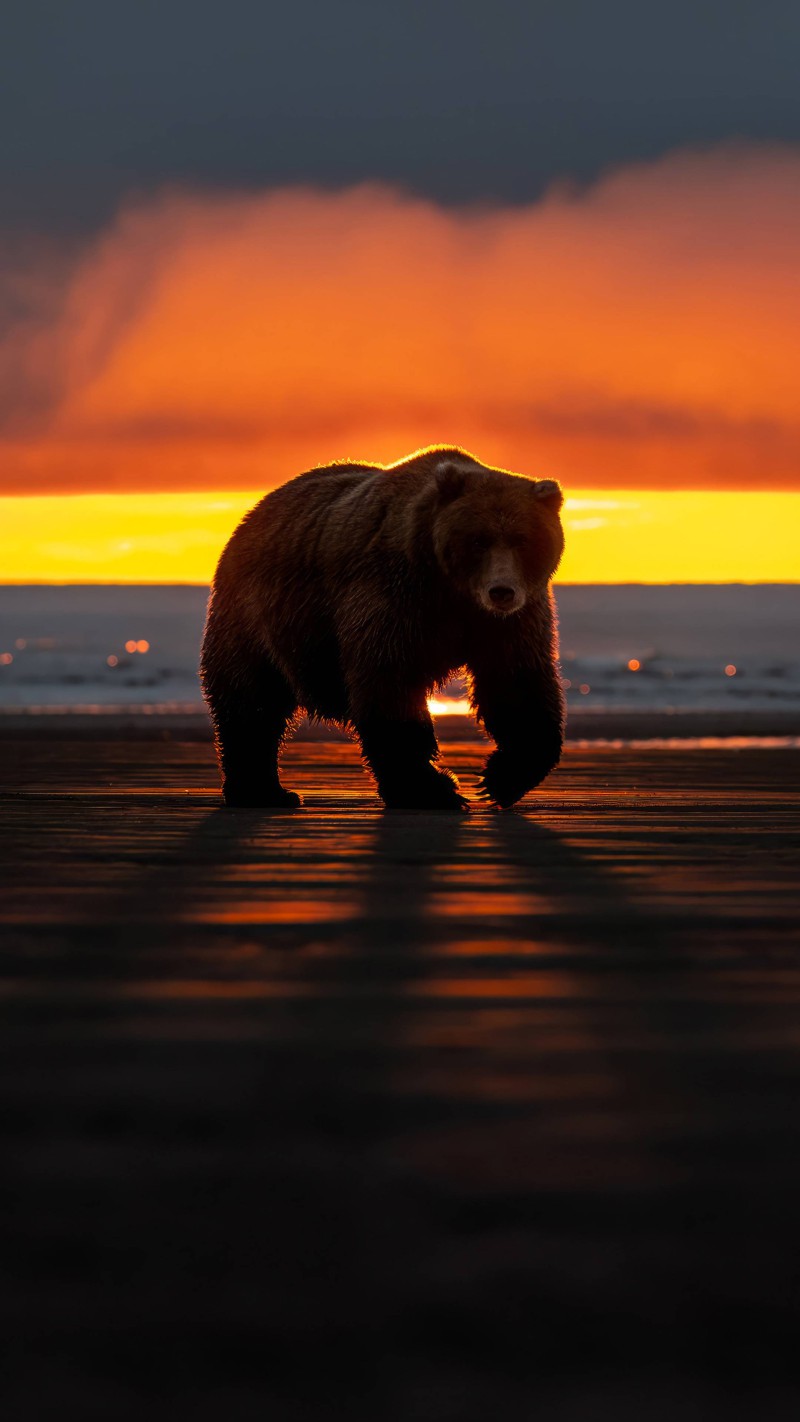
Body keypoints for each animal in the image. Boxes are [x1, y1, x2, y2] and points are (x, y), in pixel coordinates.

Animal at [200, 446, 566, 811]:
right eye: (478, 541)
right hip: (256, 612)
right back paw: (261, 791)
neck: (451, 590)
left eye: (523, 540)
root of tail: (254, 511)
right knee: (252, 698)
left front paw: (501, 778)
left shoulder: (510, 619)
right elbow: (390, 679)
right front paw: (432, 789)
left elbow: (516, 682)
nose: (501, 591)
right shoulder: (392, 594)